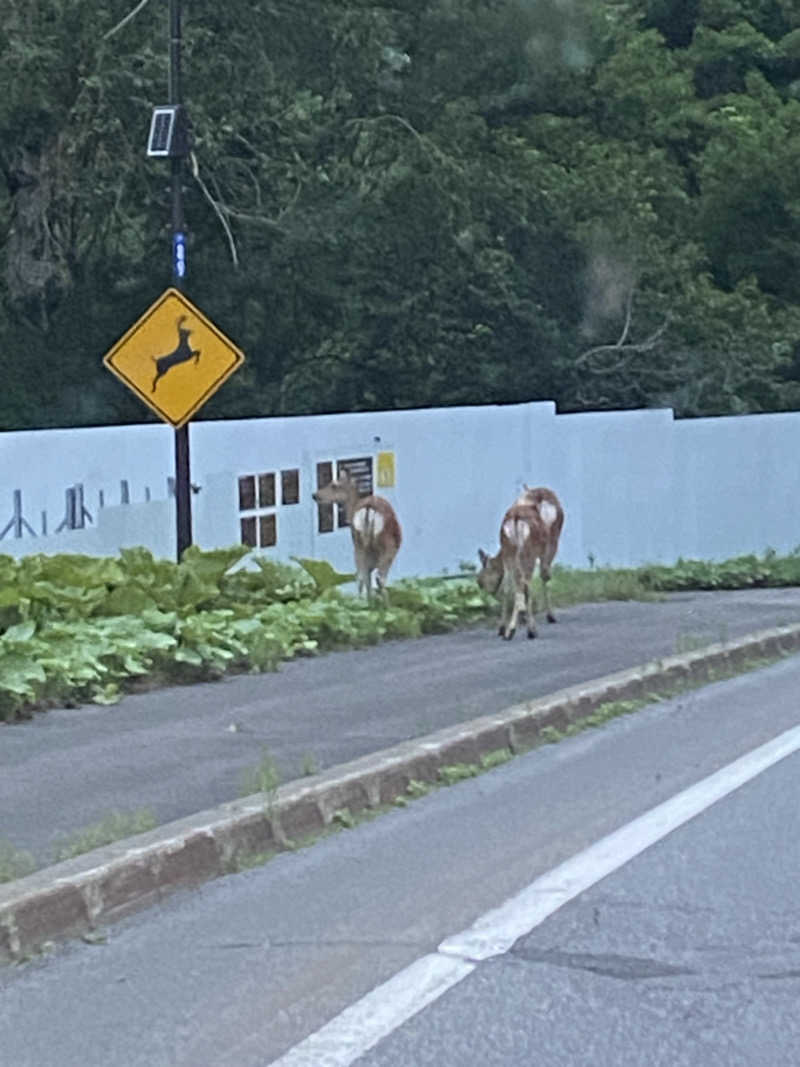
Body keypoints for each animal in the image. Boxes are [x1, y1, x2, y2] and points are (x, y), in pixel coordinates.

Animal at [311, 473, 403, 601]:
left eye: (334, 485)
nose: (315, 495)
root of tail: (368, 508)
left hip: (358, 544)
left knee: (360, 576)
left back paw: (361, 602)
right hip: (387, 546)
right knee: (379, 578)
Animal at [480, 486, 567, 640]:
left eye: (481, 581)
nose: (489, 595)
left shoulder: (508, 558)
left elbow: (508, 587)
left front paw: (502, 628)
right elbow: (544, 576)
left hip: (512, 549)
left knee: (513, 586)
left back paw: (509, 629)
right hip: (537, 548)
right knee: (532, 581)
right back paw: (530, 628)